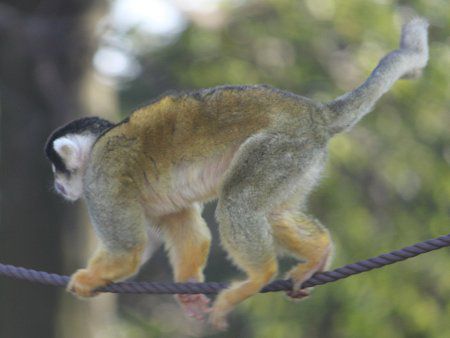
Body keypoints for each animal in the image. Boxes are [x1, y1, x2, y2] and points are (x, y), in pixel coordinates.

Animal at [45, 19, 428, 330]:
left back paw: (259, 276)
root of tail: (315, 113)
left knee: (238, 200)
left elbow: (126, 251)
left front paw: (86, 279)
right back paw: (318, 252)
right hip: (303, 157)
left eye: (57, 169)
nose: (57, 185)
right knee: (272, 212)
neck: (99, 144)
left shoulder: (101, 176)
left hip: (280, 145)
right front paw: (188, 289)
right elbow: (189, 231)